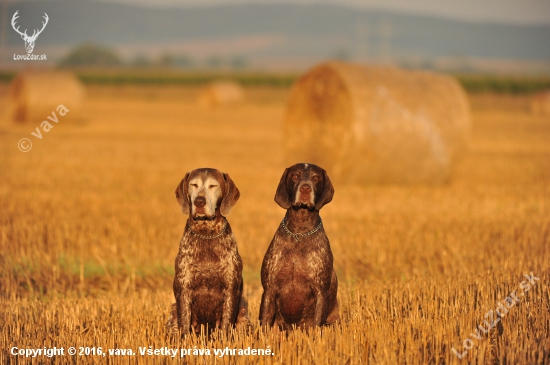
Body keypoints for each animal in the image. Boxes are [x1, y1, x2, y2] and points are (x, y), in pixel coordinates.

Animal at [260, 162, 340, 330]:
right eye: (295, 175)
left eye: (315, 178)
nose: (305, 189)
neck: (299, 232)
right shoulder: (269, 290)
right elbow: (263, 325)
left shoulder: (320, 292)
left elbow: (317, 326)